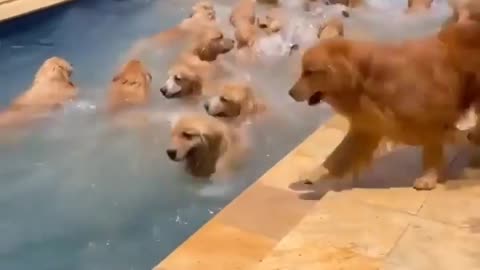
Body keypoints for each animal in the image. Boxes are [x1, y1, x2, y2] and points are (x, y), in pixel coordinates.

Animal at [286, 21, 480, 190]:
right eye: (303, 71)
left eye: (309, 72)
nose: (290, 93)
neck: (366, 77)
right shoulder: (368, 125)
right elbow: (339, 155)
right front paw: (314, 174)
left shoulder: (430, 119)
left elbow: (432, 149)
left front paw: (427, 179)